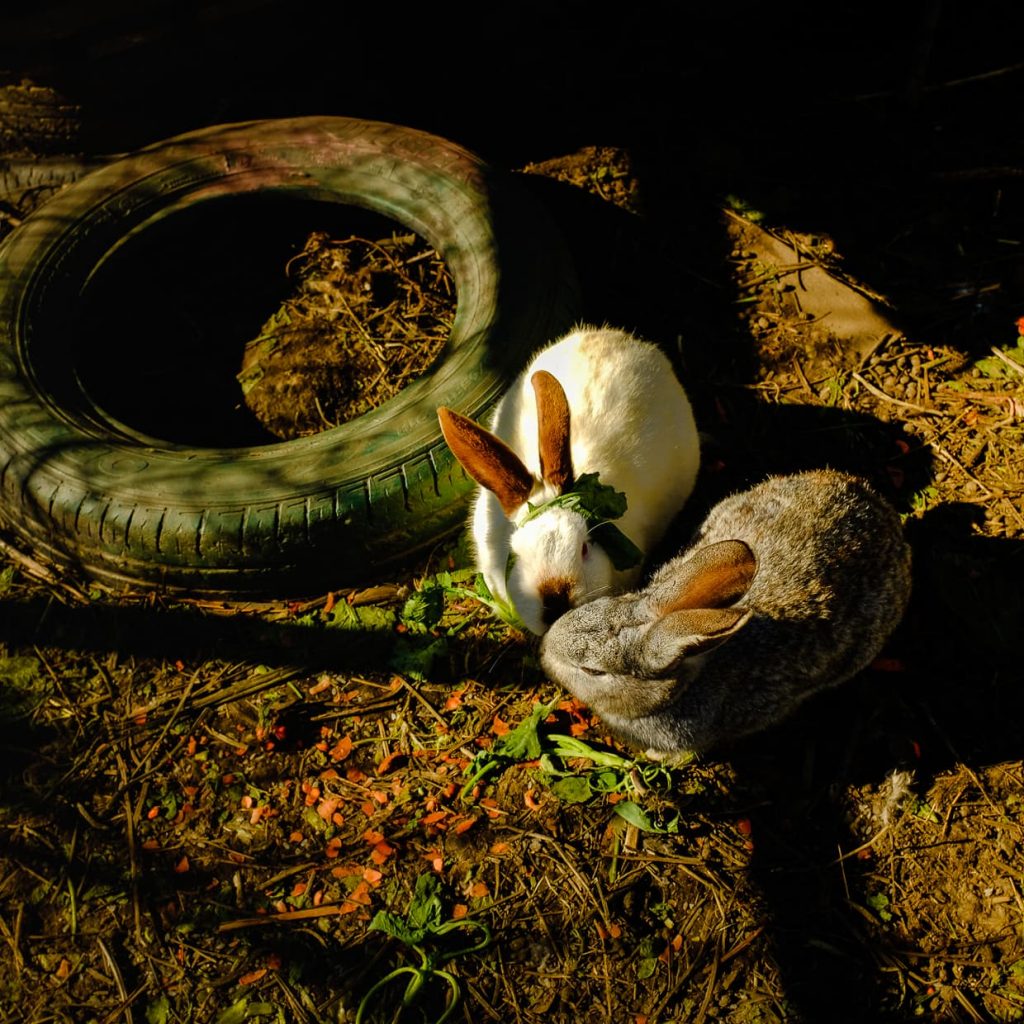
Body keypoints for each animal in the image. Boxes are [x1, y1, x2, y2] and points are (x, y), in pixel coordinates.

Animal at [536, 468, 913, 757]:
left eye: (592, 670)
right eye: (595, 606)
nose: (544, 651)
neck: (680, 686)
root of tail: (880, 509)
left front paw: (656, 757)